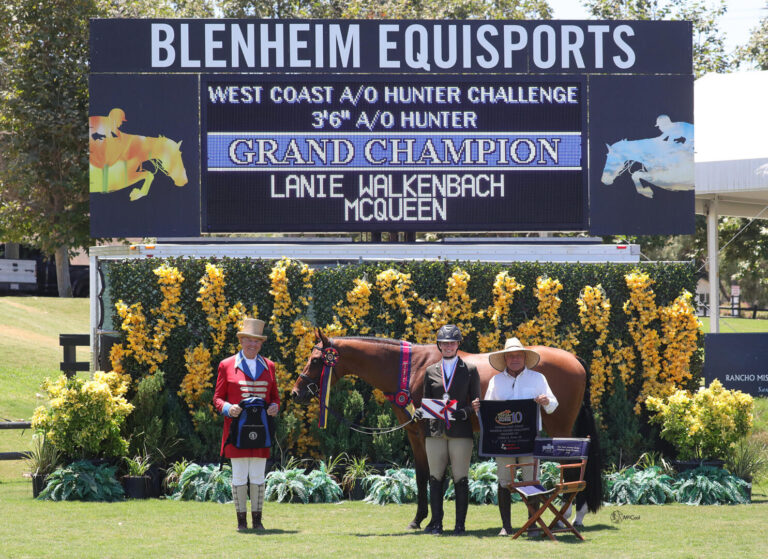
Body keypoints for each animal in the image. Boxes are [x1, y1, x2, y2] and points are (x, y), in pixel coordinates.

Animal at [292, 330, 604, 532]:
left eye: (317, 360)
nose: (296, 392)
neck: (410, 369)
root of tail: (575, 360)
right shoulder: (417, 434)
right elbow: (424, 477)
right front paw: (421, 520)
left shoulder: (423, 432)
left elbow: (433, 478)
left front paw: (430, 521)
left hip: (559, 426)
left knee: (573, 467)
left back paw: (569, 518)